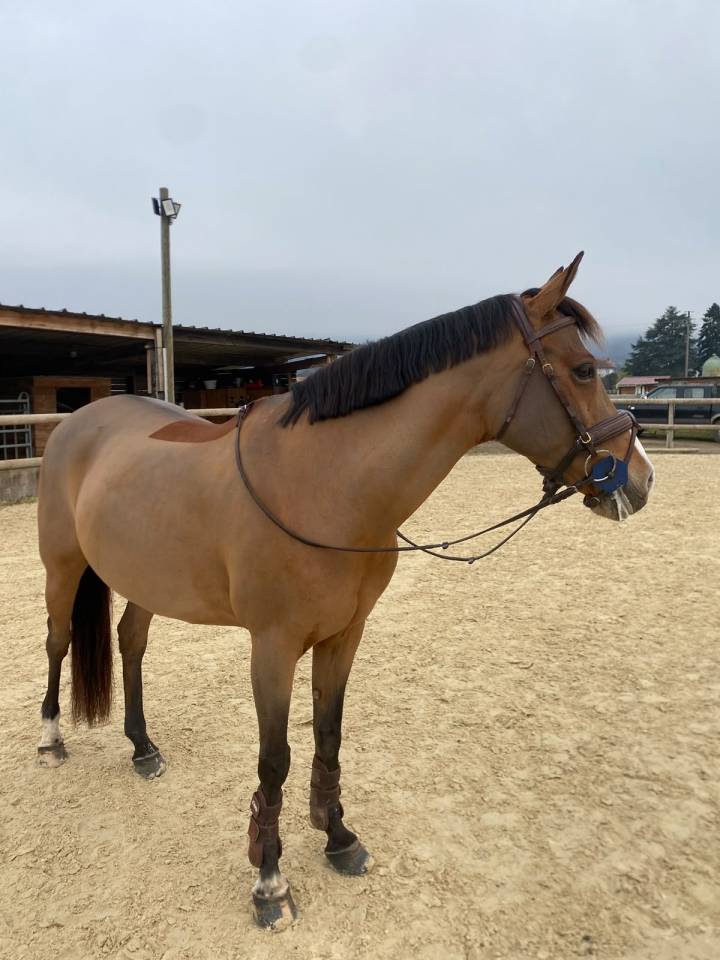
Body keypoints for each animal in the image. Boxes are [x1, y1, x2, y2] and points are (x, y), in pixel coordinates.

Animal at [35, 254, 654, 927]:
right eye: (584, 370)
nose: (641, 478)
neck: (326, 483)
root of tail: (79, 422)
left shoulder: (345, 634)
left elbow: (328, 735)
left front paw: (338, 838)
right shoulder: (273, 646)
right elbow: (274, 757)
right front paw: (270, 881)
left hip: (144, 578)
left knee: (131, 642)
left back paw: (143, 748)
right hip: (62, 567)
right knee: (58, 643)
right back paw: (51, 741)